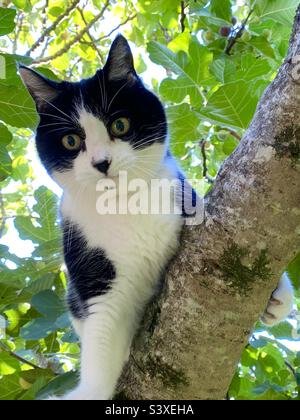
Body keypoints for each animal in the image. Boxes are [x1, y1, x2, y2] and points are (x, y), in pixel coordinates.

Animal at [19, 36, 296, 400]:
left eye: (119, 125)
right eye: (71, 140)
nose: (101, 163)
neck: (125, 203)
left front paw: (278, 294)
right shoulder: (90, 264)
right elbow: (102, 330)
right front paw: (91, 390)